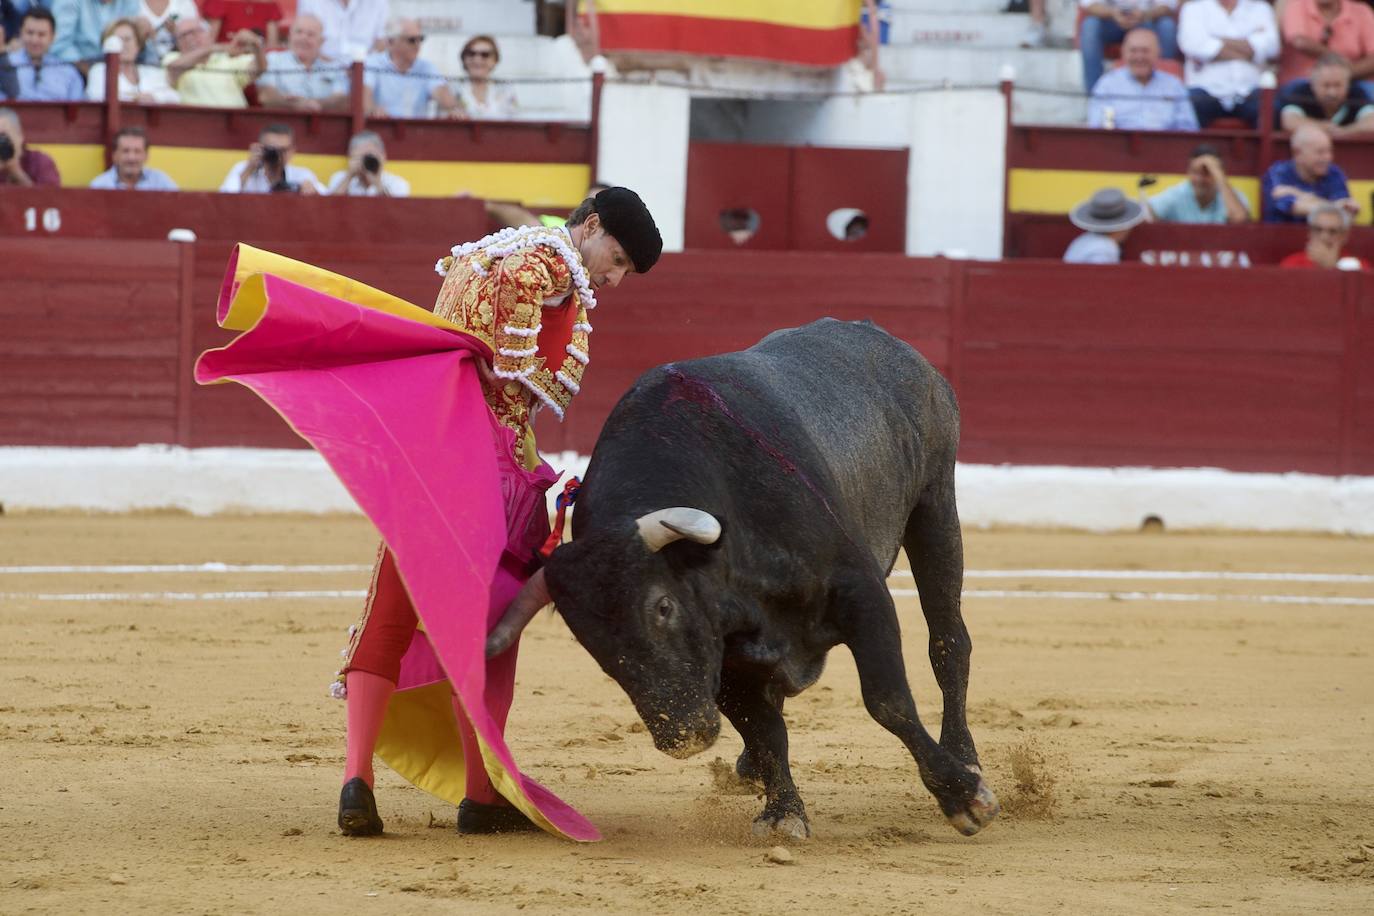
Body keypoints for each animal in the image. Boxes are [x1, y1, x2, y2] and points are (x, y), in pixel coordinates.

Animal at [494, 318, 1000, 840]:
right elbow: (765, 728)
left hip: (935, 505)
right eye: (588, 640)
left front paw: (963, 797)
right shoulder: (721, 655)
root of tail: (890, 343)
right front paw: (783, 811)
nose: (683, 738)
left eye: (662, 606)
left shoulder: (863, 595)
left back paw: (966, 757)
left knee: (948, 642)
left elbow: (887, 700)